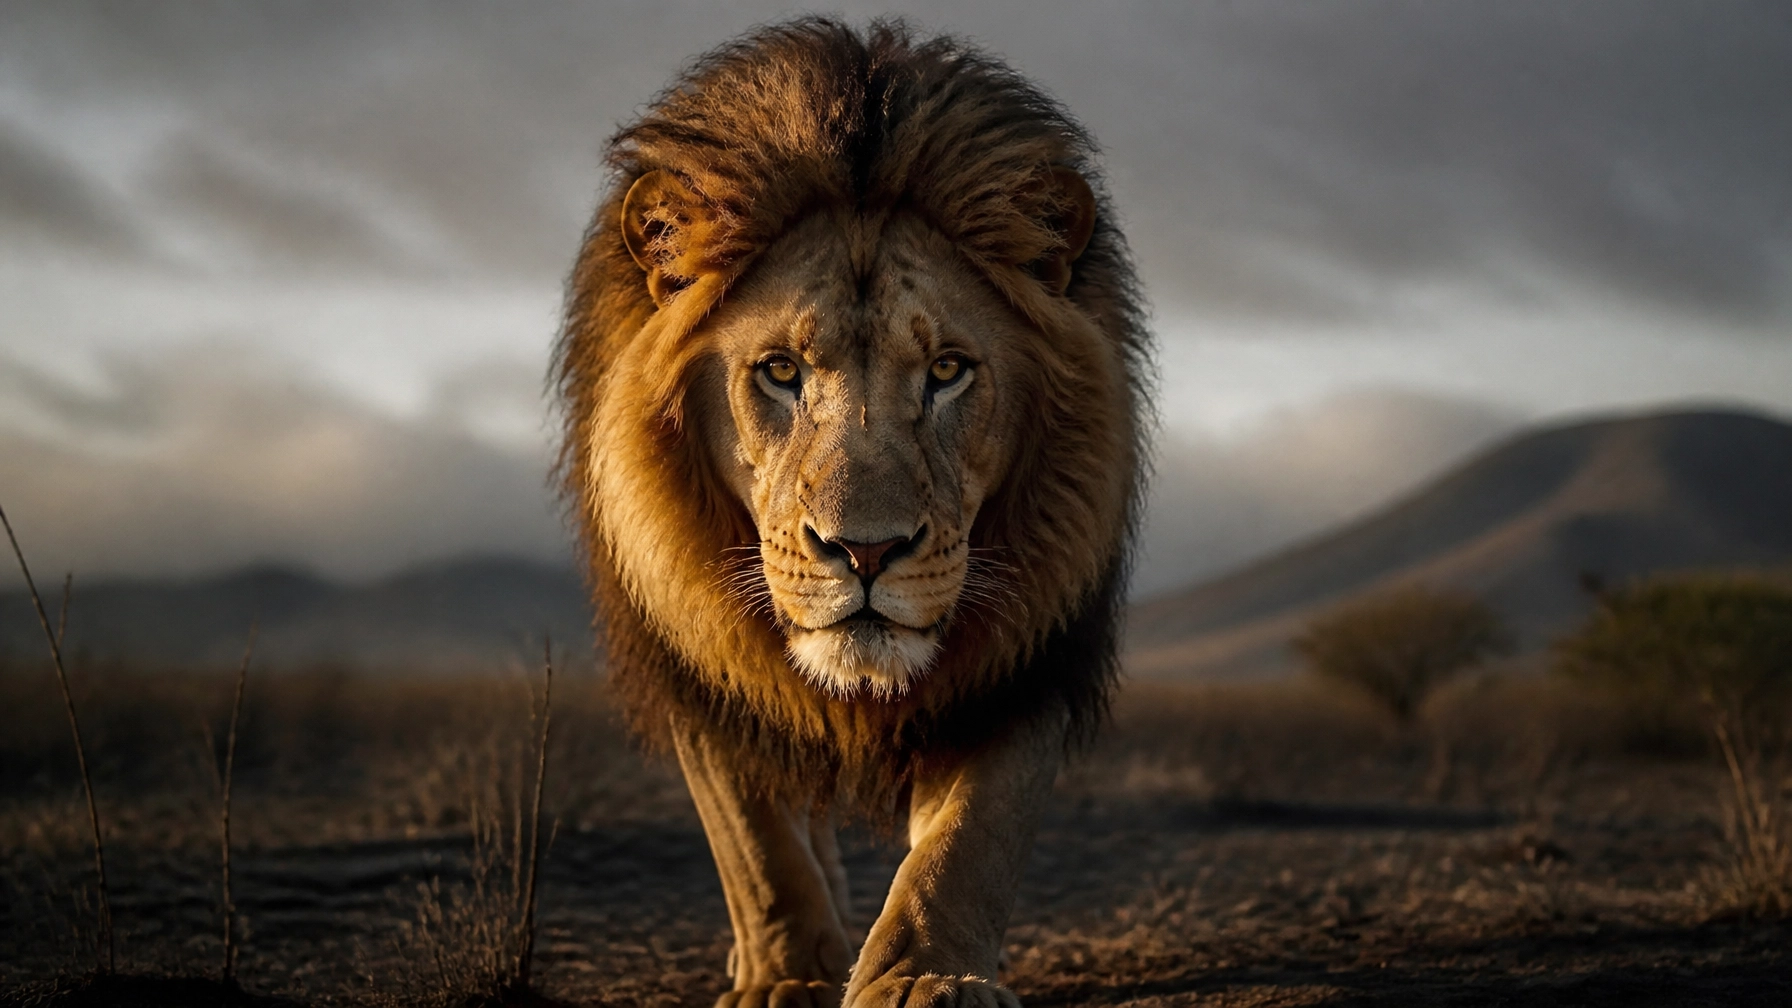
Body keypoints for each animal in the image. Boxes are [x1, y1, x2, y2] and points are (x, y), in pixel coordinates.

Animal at [554, 19, 1147, 1008]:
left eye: (947, 370)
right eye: (779, 371)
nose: (866, 553)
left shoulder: (1029, 649)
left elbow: (971, 836)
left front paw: (925, 974)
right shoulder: (694, 658)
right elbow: (754, 839)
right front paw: (788, 976)